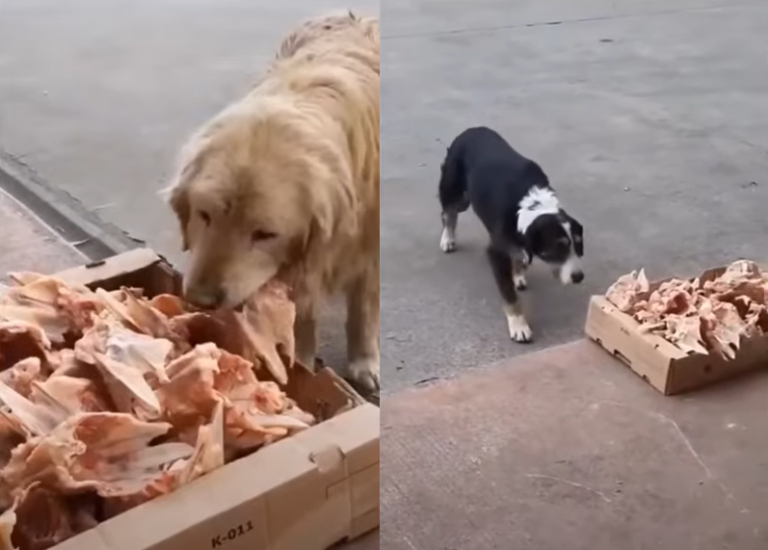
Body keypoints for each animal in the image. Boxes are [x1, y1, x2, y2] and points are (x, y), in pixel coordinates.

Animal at [164, 11, 380, 392]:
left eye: (264, 234)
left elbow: (364, 305)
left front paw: (364, 361)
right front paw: (302, 364)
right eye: (205, 215)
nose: (200, 300)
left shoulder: (363, 243)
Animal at [438, 128, 584, 344]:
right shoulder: (496, 252)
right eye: (558, 247)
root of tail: (472, 129)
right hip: (455, 190)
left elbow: (520, 255)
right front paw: (519, 325)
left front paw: (518, 274)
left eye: (578, 246)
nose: (579, 277)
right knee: (449, 212)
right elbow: (510, 296)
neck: (528, 207)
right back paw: (447, 238)